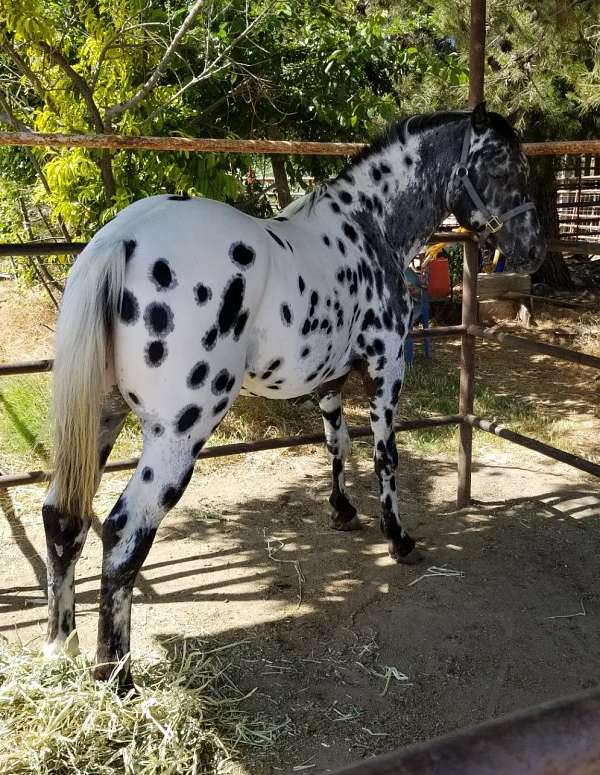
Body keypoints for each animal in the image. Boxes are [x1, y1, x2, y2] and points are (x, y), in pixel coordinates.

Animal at [43, 104, 544, 684]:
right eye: (506, 166)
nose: (536, 251)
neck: (369, 226)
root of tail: (120, 240)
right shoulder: (387, 366)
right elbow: (386, 456)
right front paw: (398, 539)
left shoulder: (329, 381)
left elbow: (337, 445)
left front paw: (343, 512)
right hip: (176, 435)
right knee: (125, 533)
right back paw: (116, 677)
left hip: (101, 417)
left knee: (62, 517)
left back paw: (60, 647)